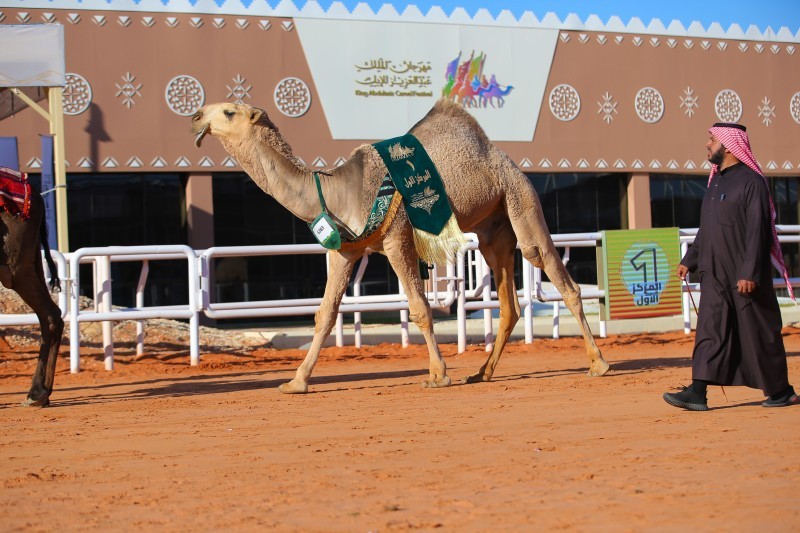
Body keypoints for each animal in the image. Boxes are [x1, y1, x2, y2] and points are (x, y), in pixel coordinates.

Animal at [0, 172, 63, 406]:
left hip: (16, 267)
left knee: (50, 315)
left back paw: (37, 393)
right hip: (32, 258)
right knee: (52, 316)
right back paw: (42, 393)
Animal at [191, 98, 608, 394]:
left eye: (228, 110)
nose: (195, 115)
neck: (339, 191)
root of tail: (501, 155)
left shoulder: (396, 238)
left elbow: (420, 308)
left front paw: (438, 375)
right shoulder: (343, 251)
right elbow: (325, 314)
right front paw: (296, 382)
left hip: (520, 198)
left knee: (555, 272)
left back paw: (598, 364)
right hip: (493, 230)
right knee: (509, 304)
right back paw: (482, 373)